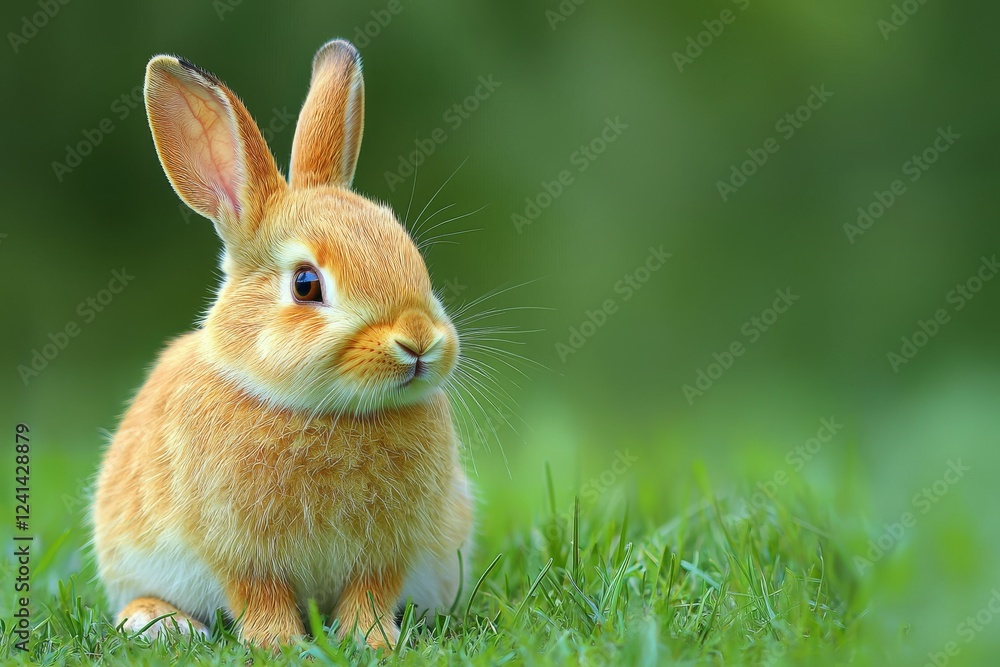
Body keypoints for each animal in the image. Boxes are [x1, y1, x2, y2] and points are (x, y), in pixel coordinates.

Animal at [92, 39, 474, 651]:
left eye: (414, 259)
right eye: (306, 284)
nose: (418, 342)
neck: (328, 411)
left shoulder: (385, 556)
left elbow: (370, 594)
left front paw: (374, 641)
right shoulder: (242, 555)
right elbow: (260, 595)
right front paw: (279, 644)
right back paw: (161, 622)